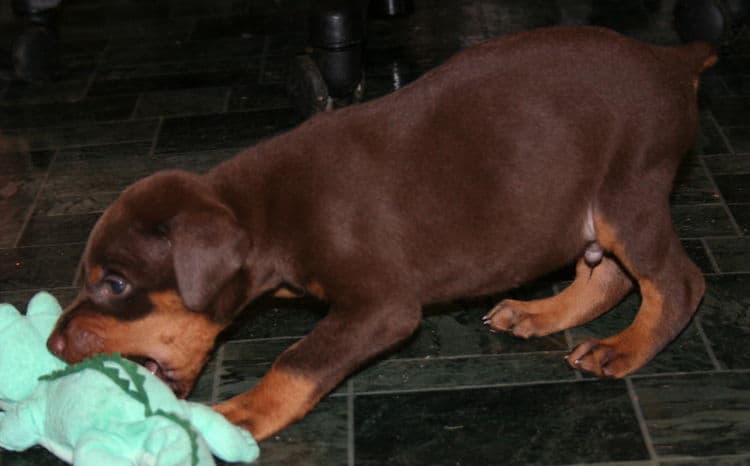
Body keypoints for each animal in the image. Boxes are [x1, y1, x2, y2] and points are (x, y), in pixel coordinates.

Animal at [45, 26, 716, 440]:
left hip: (628, 190)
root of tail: (671, 60)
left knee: (678, 283)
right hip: (586, 208)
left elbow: (299, 358)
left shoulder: (384, 306)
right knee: (607, 275)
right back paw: (538, 313)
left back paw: (622, 348)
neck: (264, 213)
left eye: (115, 283)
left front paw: (243, 413)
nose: (52, 344)